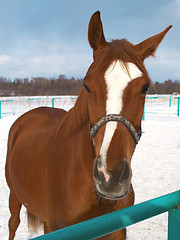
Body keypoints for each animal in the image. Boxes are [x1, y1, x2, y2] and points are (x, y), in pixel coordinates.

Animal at [5, 10, 172, 240]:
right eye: (87, 85)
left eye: (145, 87)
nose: (111, 177)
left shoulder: (117, 232)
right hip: (14, 194)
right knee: (13, 223)